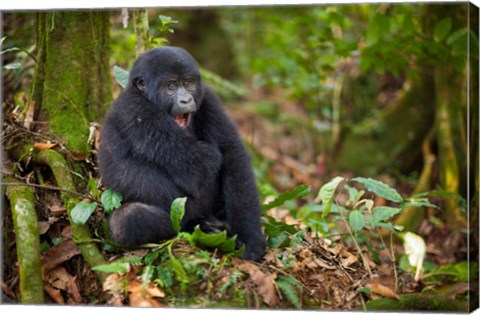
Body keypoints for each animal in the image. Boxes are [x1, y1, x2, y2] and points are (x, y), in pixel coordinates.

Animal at [98, 45, 266, 260]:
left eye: (188, 83)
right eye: (171, 86)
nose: (186, 99)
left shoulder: (208, 97)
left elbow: (232, 153)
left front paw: (249, 237)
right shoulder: (134, 109)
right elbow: (200, 165)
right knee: (127, 220)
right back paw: (203, 225)